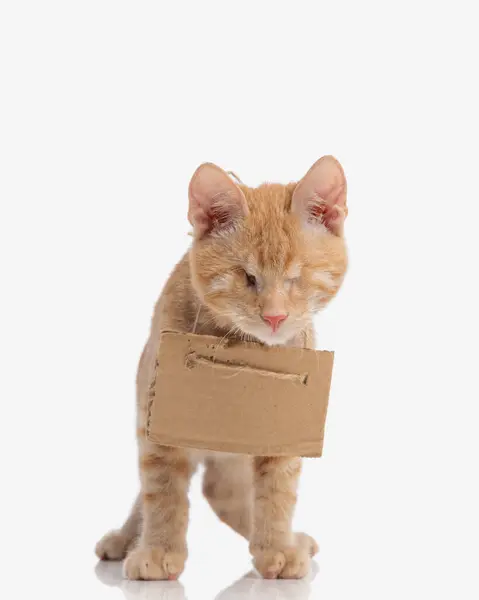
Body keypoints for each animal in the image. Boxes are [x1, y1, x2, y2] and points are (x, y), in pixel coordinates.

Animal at [94, 157, 348, 580]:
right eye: (247, 277)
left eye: (297, 277)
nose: (275, 316)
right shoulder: (159, 421)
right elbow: (162, 490)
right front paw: (158, 551)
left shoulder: (286, 431)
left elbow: (277, 490)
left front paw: (278, 547)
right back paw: (126, 538)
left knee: (222, 491)